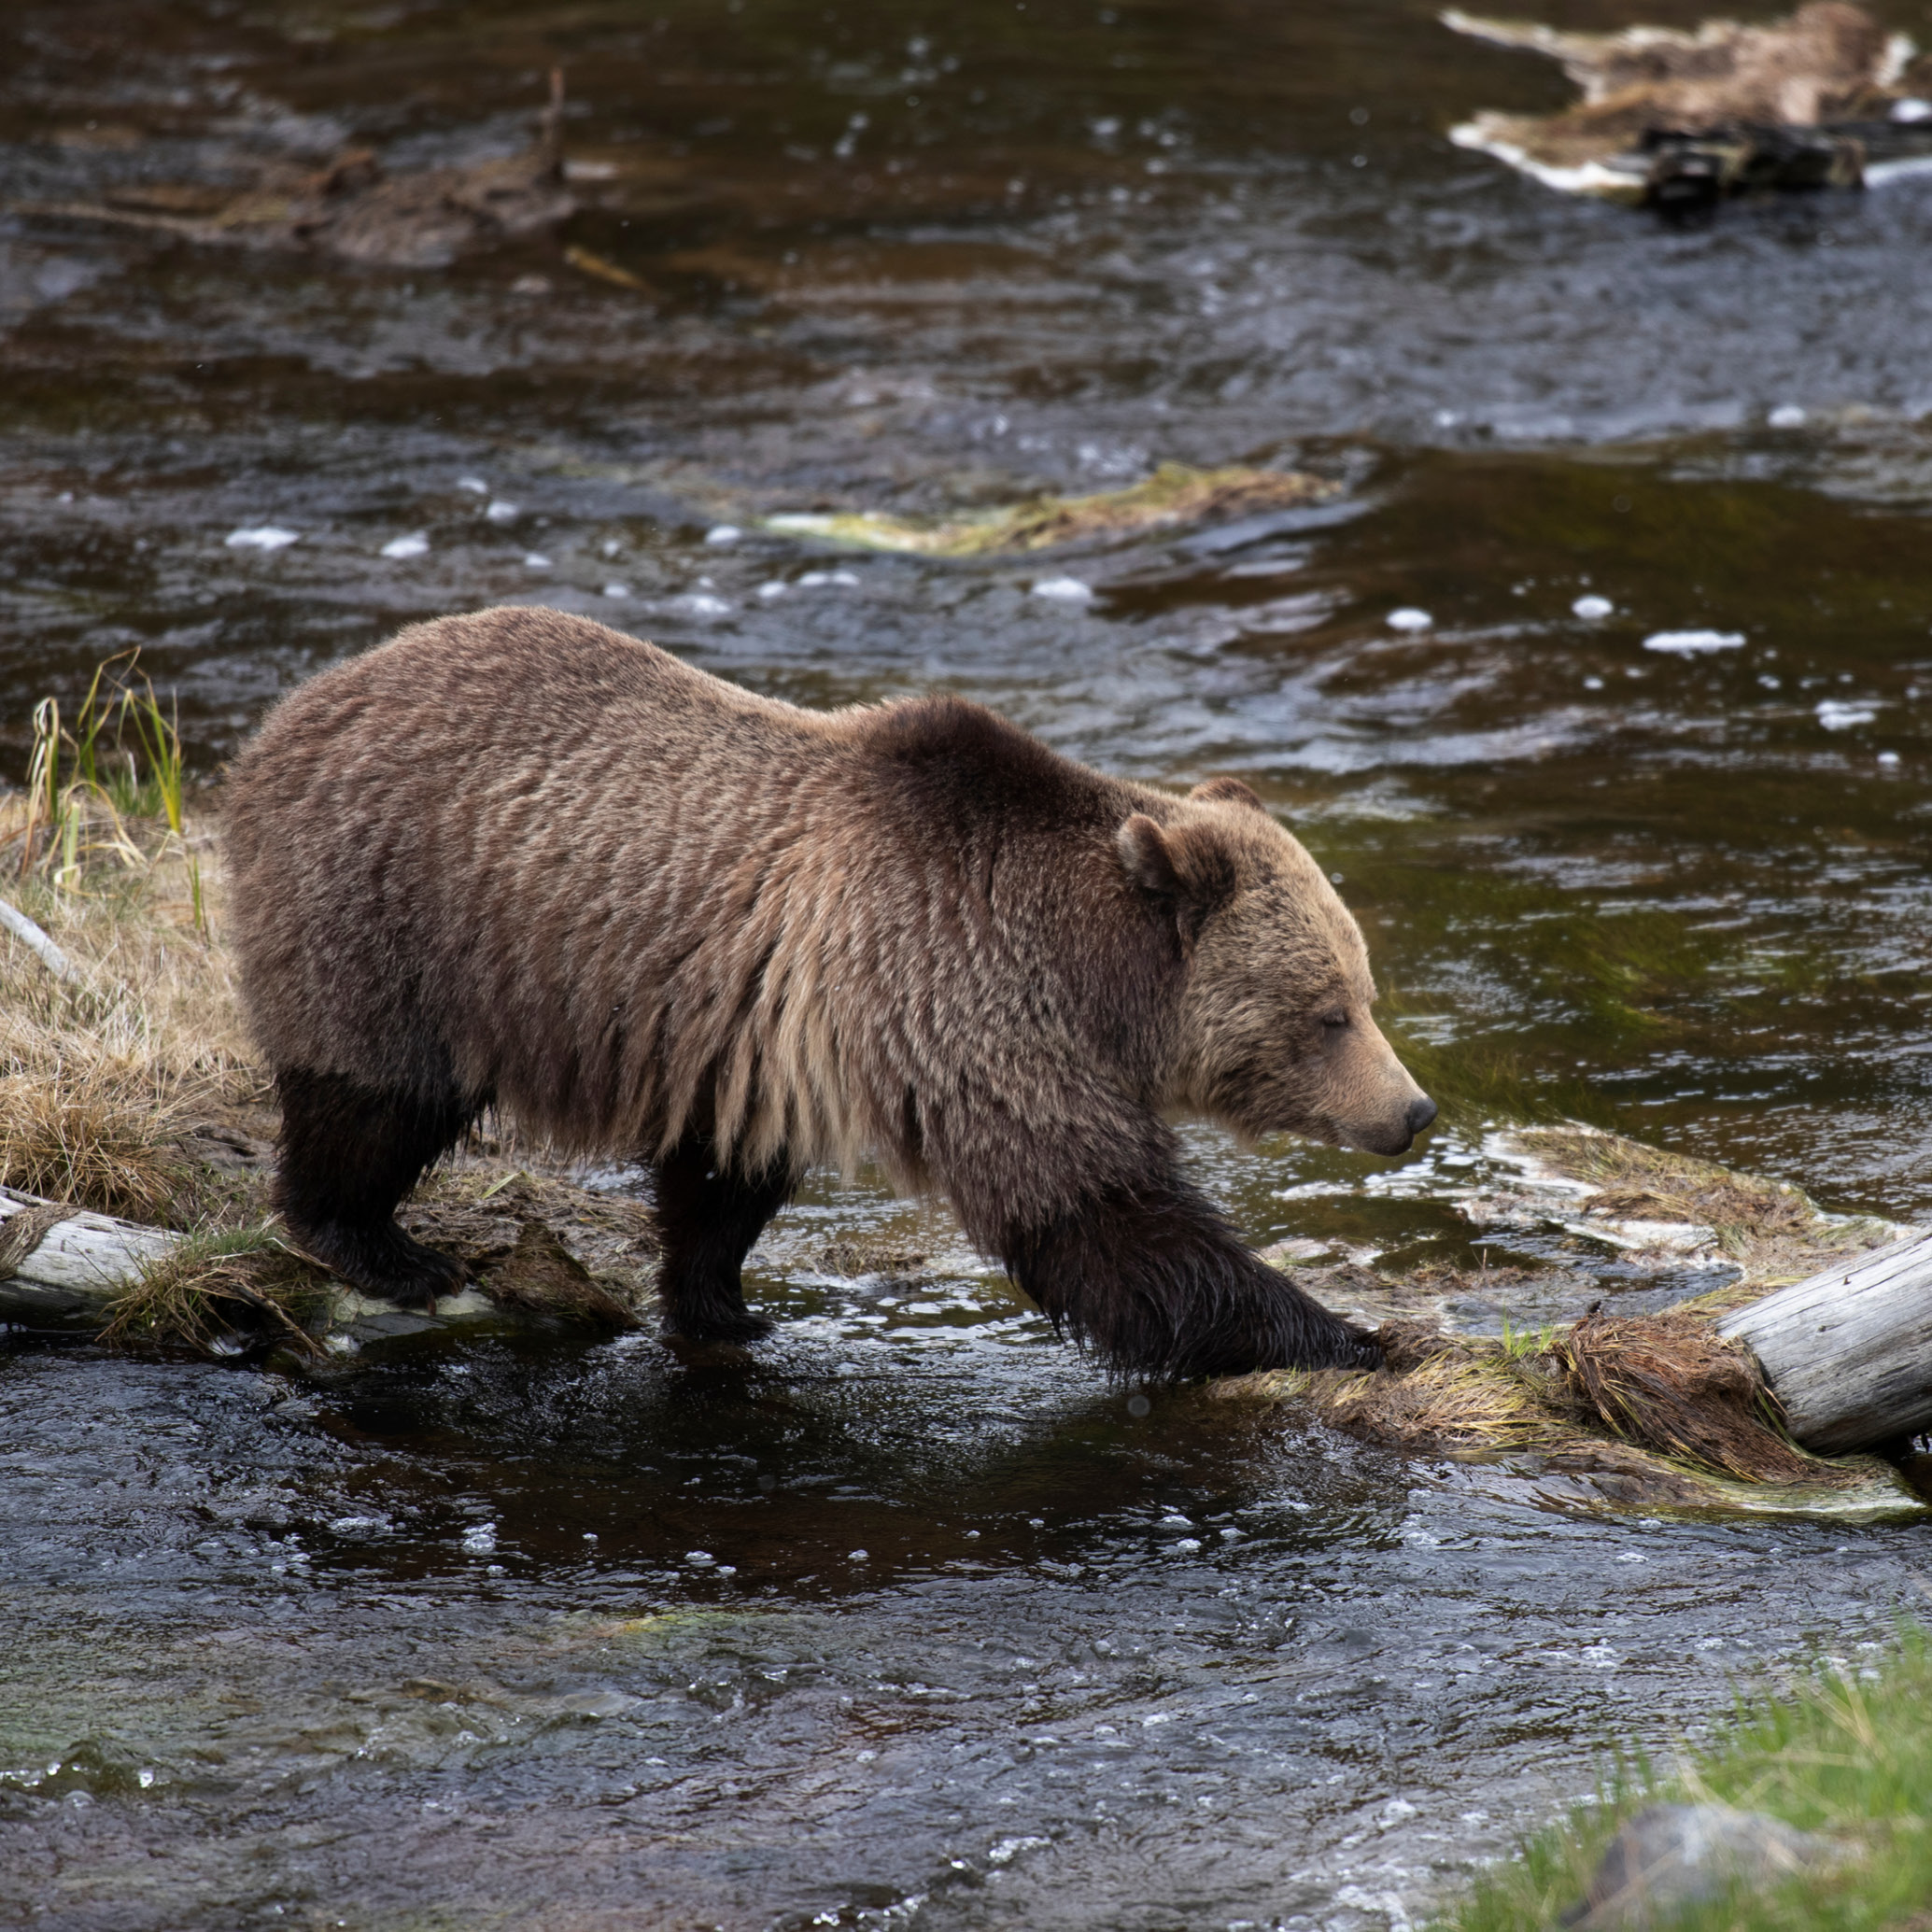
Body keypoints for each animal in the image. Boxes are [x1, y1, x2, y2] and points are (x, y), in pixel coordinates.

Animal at [222, 606, 1436, 1379]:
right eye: (1330, 1011)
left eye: (1366, 992)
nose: (1413, 1109)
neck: (1094, 979)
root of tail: (296, 704)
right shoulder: (965, 995)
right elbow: (1094, 1215)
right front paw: (1356, 1336)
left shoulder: (750, 1034)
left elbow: (720, 1178)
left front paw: (721, 1307)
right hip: (393, 913)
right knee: (371, 1096)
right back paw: (384, 1246)